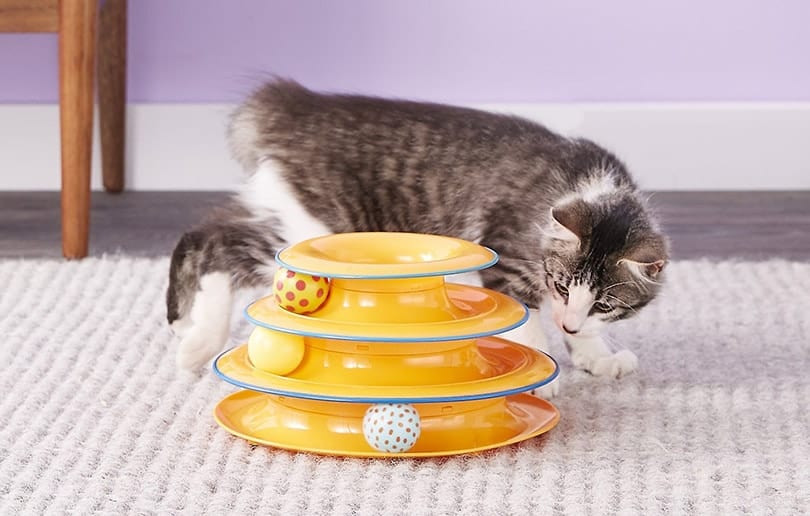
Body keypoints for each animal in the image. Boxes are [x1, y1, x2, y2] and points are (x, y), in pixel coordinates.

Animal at [164, 78, 664, 394]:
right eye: (561, 285)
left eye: (605, 304)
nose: (569, 323)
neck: (588, 186)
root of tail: (298, 107)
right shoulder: (505, 262)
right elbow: (530, 326)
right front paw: (547, 373)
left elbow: (585, 335)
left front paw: (596, 355)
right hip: (321, 233)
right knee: (218, 247)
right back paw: (198, 341)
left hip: (287, 214)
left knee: (207, 230)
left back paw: (186, 324)